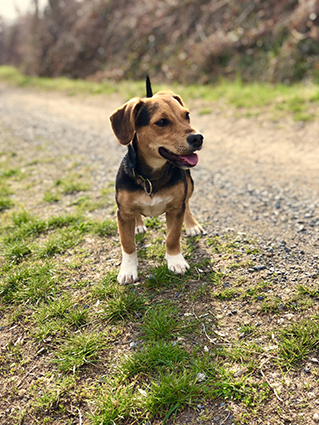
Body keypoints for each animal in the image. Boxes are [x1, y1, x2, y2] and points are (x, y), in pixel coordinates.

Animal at [110, 76, 205, 284]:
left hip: (189, 184)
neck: (151, 177)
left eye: (187, 115)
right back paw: (138, 225)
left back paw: (192, 225)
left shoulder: (176, 208)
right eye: (162, 122)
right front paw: (128, 270)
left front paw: (176, 261)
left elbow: (173, 237)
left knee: (188, 203)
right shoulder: (122, 213)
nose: (198, 138)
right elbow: (127, 244)